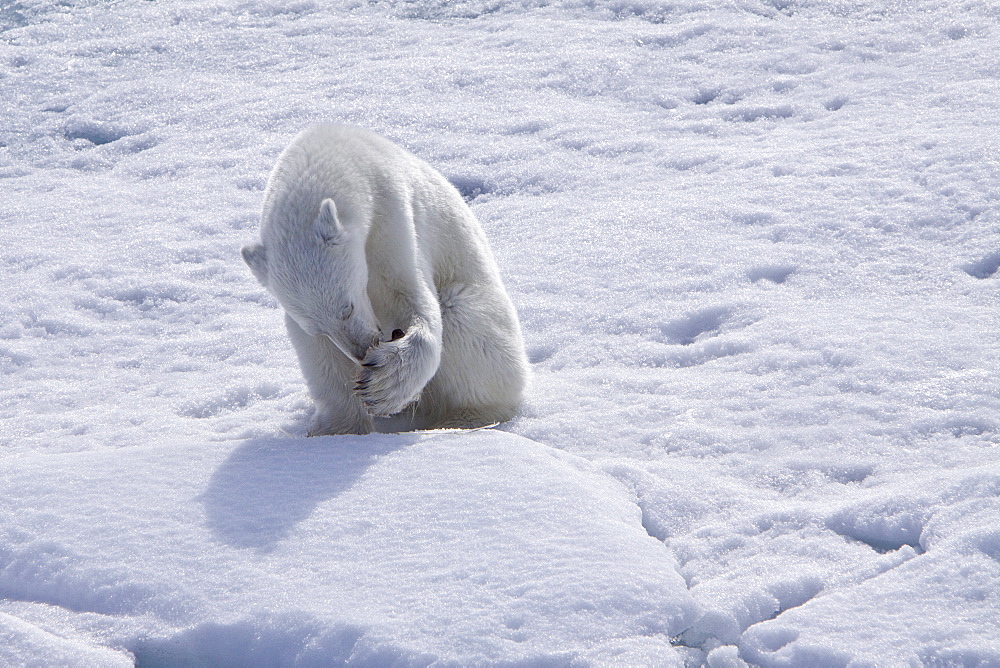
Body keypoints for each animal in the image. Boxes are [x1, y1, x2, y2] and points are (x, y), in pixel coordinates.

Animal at [242, 123, 532, 436]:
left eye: (348, 308)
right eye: (318, 328)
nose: (362, 352)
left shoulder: (392, 217)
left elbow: (409, 296)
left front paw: (382, 384)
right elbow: (318, 356)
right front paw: (334, 430)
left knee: (464, 321)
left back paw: (462, 420)